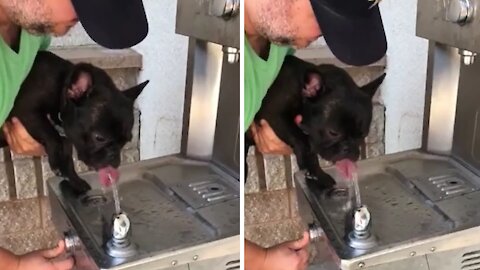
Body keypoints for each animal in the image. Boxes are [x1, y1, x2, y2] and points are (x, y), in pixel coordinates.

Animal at [0, 50, 148, 194]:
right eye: (99, 138)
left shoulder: (67, 135)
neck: (61, 90)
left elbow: (67, 156)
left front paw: (75, 181)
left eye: (126, 141)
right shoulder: (28, 112)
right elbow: (52, 137)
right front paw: (56, 163)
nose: (114, 157)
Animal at [248, 56, 386, 189]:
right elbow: (302, 141)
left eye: (363, 135)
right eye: (333, 133)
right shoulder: (276, 115)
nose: (349, 149)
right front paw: (315, 173)